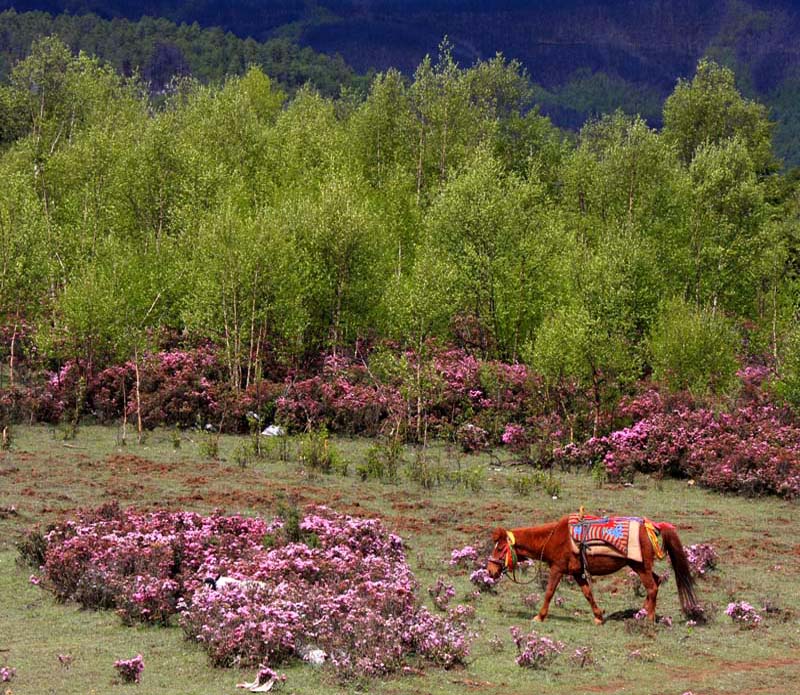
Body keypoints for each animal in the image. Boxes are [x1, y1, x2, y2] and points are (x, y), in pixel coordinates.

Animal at [484, 516, 696, 624]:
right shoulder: (577, 573)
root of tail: (652, 526)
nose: (490, 570)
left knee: (652, 587)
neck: (553, 538)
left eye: (500, 548)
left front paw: (539, 616)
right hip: (641, 566)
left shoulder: (557, 569)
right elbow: (587, 593)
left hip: (640, 566)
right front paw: (598, 617)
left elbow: (549, 592)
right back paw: (641, 613)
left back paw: (648, 620)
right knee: (657, 582)